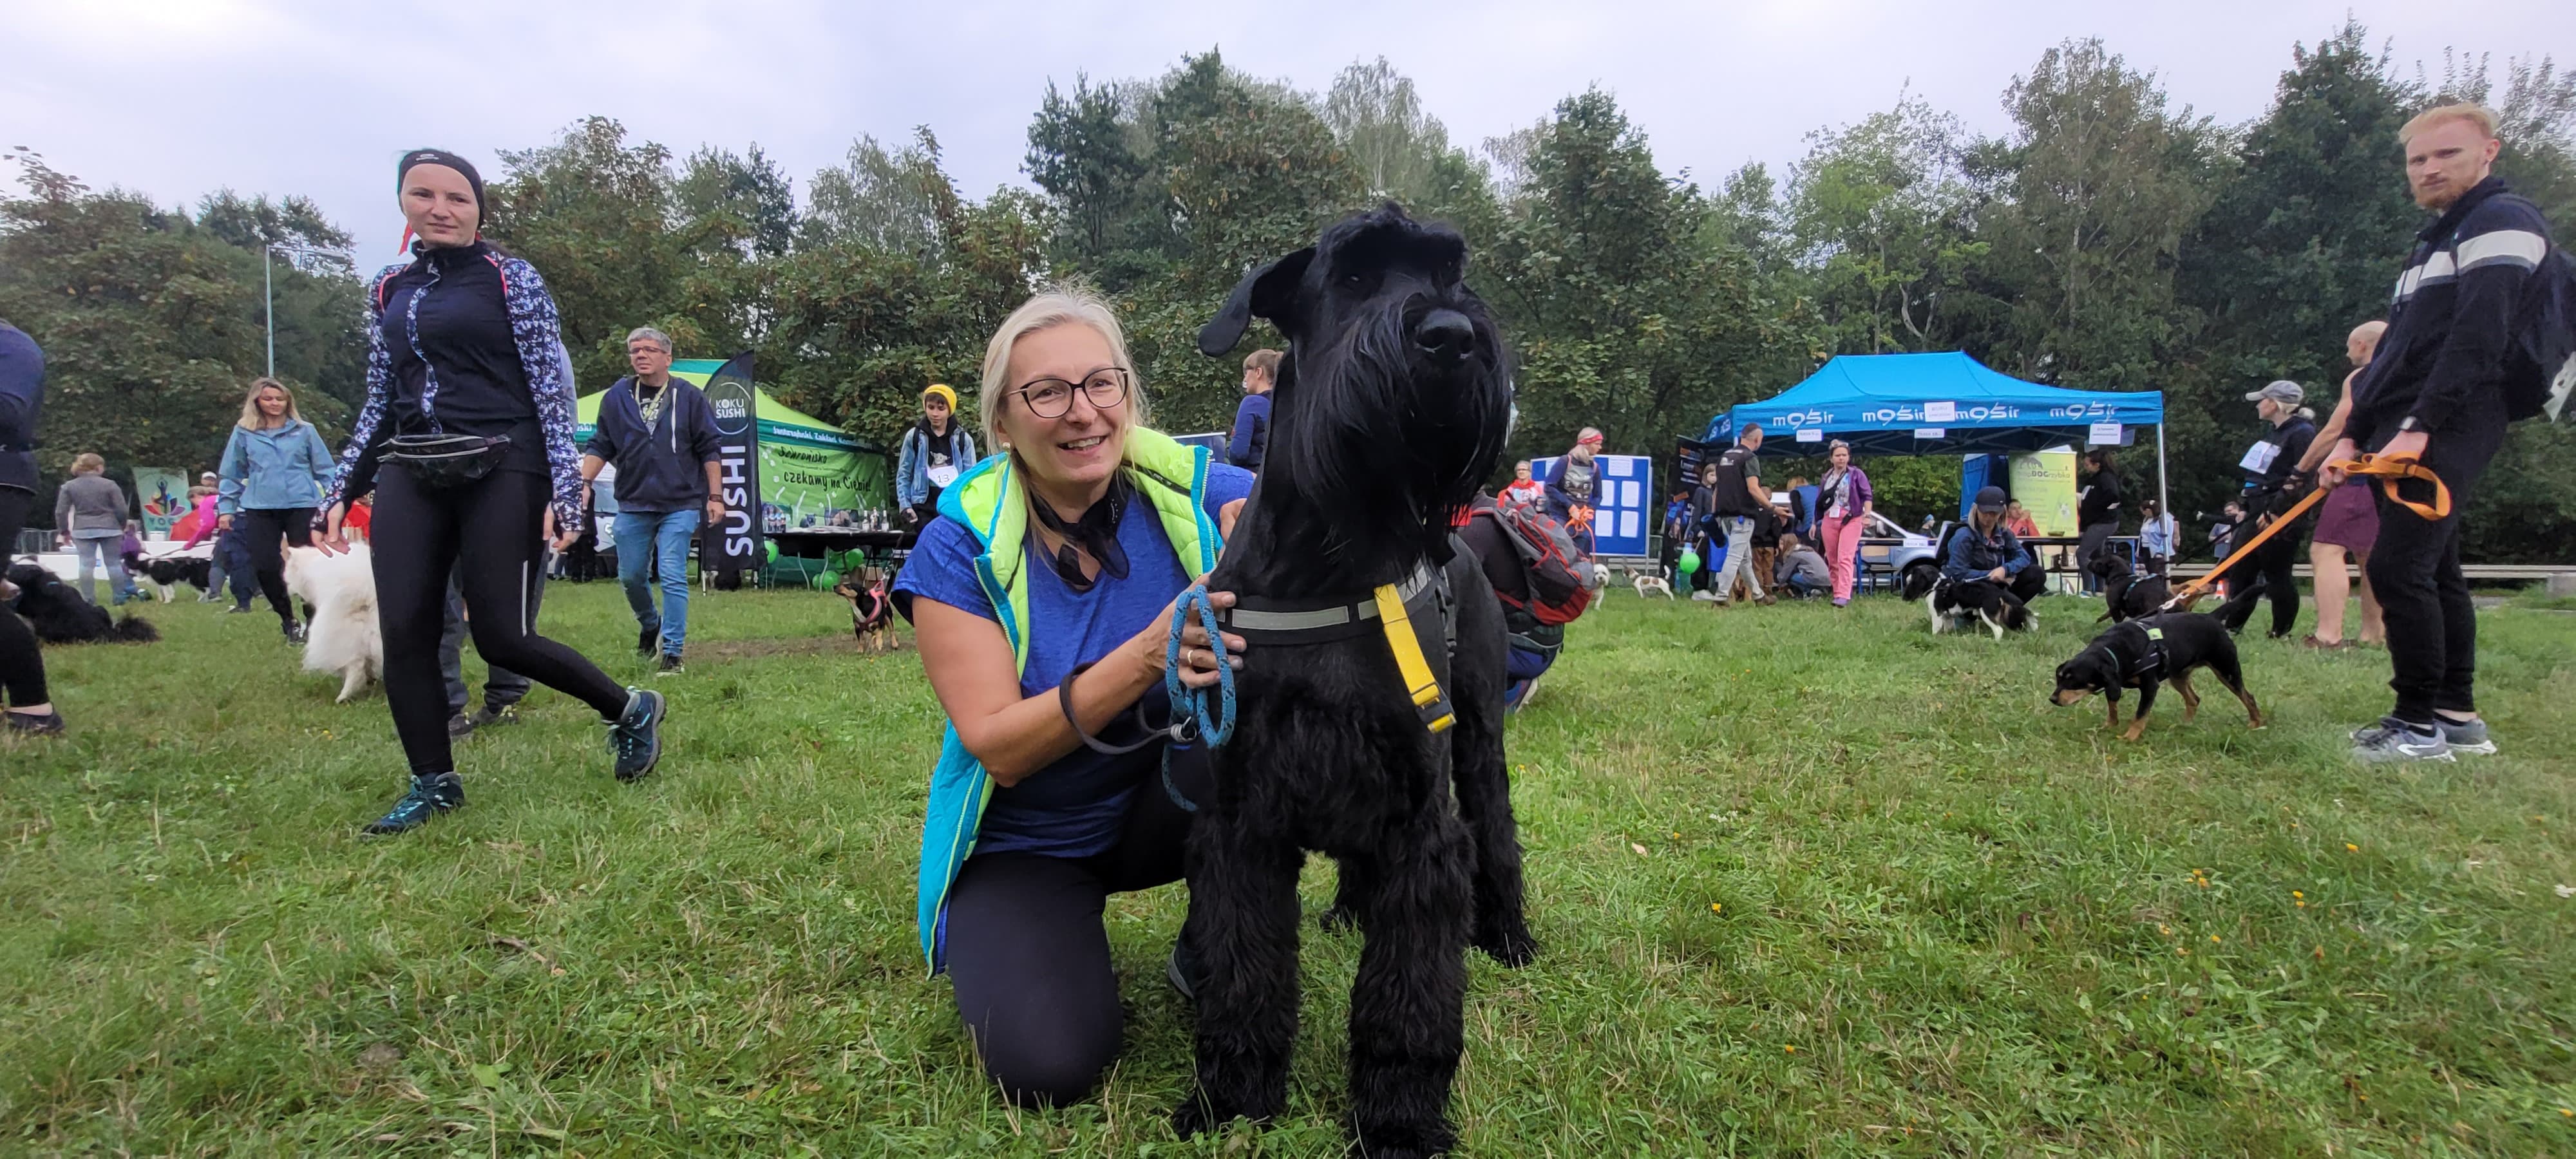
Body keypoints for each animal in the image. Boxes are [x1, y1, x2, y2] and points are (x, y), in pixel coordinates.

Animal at [2050, 616, 2257, 742]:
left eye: (2073, 681)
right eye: (2059, 679)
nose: (2052, 699)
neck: (2117, 648)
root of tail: (2214, 619)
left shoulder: (2150, 686)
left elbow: (2140, 715)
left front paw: (2130, 737)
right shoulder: (2113, 682)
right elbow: (2112, 706)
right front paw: (2109, 725)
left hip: (2227, 670)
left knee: (2248, 697)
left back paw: (2255, 724)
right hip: (2178, 675)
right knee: (2194, 699)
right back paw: (2184, 724)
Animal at [2081, 546, 2164, 626]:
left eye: (2099, 563)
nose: (2089, 563)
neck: (2120, 576)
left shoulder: (2114, 608)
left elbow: (2116, 620)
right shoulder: (2121, 610)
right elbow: (2107, 614)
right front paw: (2098, 621)